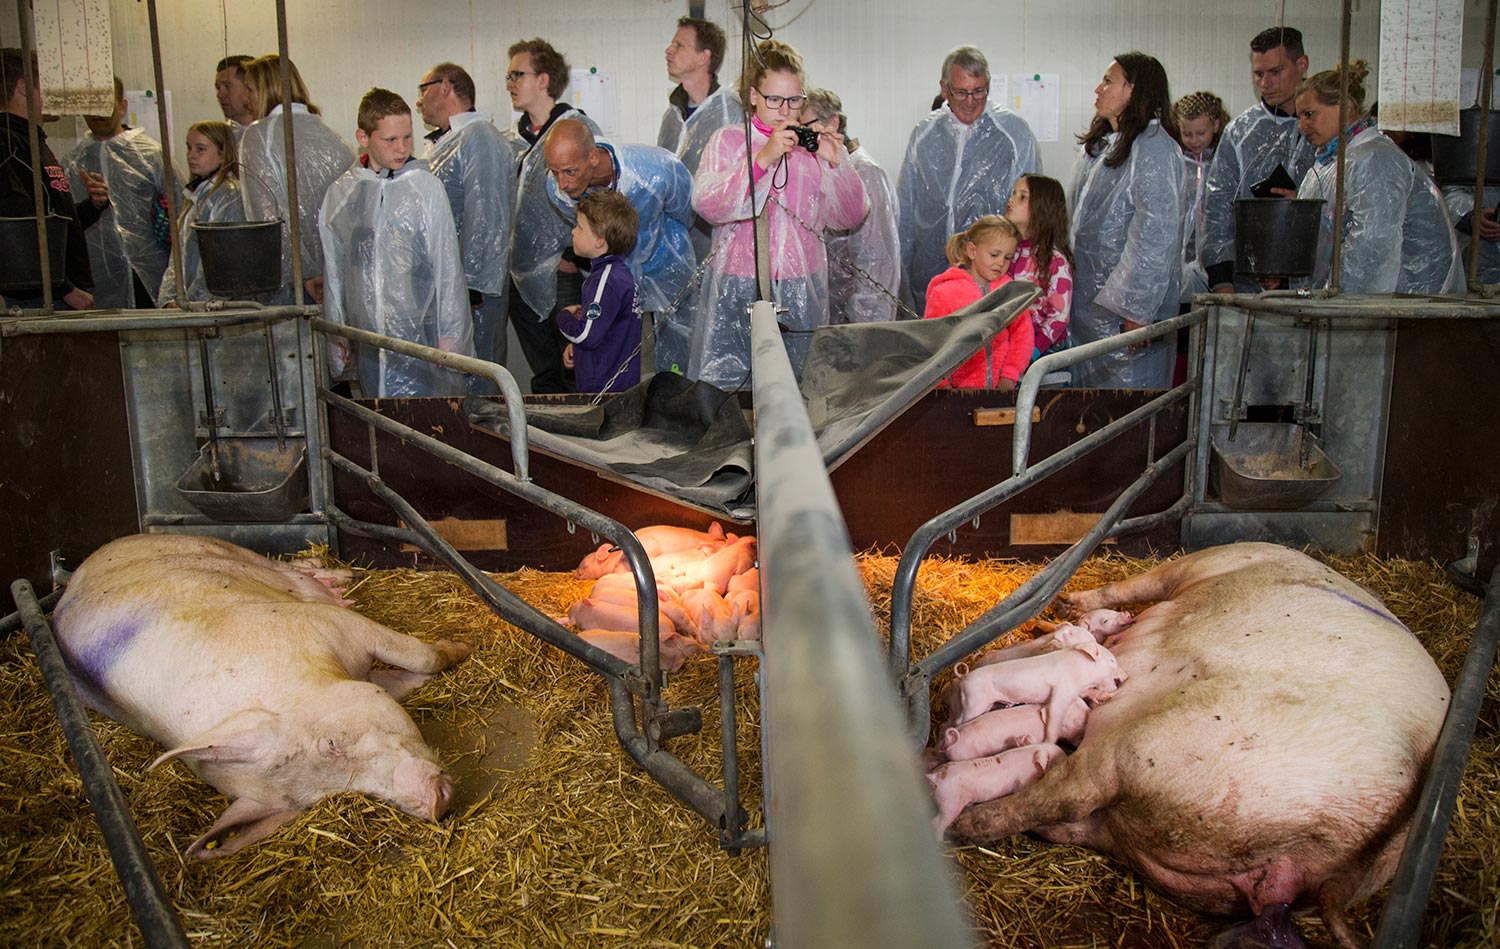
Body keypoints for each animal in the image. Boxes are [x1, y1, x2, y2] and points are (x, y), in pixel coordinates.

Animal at [52, 533, 471, 857]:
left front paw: (461, 648)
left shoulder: (328, 624)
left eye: (330, 744)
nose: (436, 802)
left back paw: (338, 576)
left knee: (283, 565)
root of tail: (71, 581)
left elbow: (423, 657)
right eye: (327, 800)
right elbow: (406, 678)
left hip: (211, 546)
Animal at [948, 539, 1452, 947]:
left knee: (1068, 794)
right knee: (1084, 824)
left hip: (1149, 746)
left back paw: (964, 824)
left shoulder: (1205, 562)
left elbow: (1112, 596)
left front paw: (1054, 617)